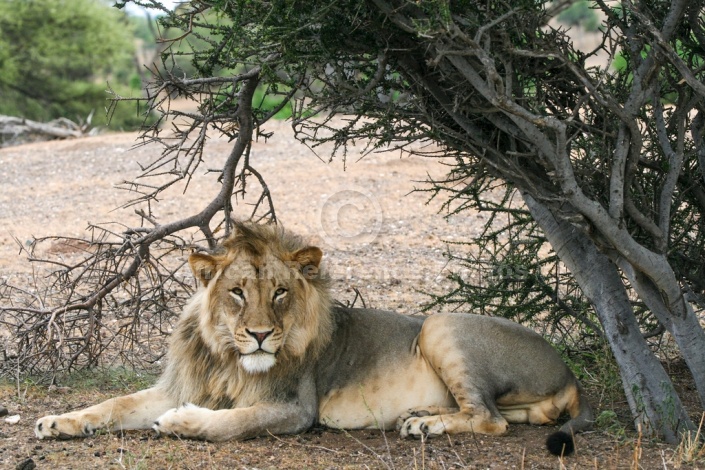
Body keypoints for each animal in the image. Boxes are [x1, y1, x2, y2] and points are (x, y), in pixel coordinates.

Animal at [35, 223, 592, 456]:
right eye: (237, 292)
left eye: (280, 293)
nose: (261, 335)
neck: (228, 357)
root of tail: (569, 371)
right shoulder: (180, 384)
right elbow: (113, 403)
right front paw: (58, 422)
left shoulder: (295, 408)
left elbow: (231, 422)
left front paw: (182, 422)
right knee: (493, 414)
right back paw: (420, 416)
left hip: (440, 324)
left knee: (491, 420)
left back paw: (424, 427)